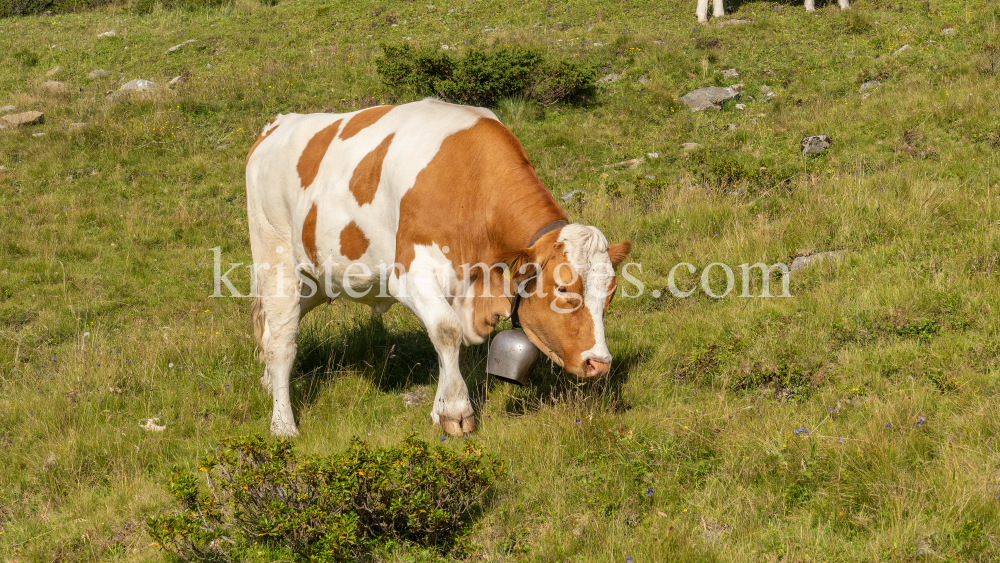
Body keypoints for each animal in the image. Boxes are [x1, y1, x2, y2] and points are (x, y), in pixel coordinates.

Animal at [245, 99, 628, 438]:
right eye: (563, 289)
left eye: (609, 296)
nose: (600, 363)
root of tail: (276, 125)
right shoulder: (410, 275)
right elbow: (447, 331)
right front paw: (456, 412)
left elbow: (454, 344)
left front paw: (439, 408)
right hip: (275, 259)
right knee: (283, 341)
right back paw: (283, 426)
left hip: (317, 279)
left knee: (271, 332)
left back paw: (266, 382)